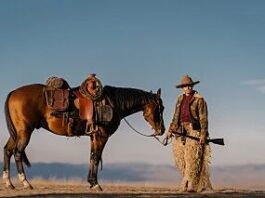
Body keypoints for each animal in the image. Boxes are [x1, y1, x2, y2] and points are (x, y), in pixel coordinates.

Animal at [2, 82, 164, 190]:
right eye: (160, 108)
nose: (161, 130)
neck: (113, 103)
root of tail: (13, 92)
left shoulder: (93, 136)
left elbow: (92, 157)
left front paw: (91, 182)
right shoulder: (101, 136)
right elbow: (96, 157)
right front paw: (96, 184)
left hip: (17, 133)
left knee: (7, 150)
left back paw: (9, 183)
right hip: (25, 132)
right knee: (17, 153)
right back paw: (25, 183)